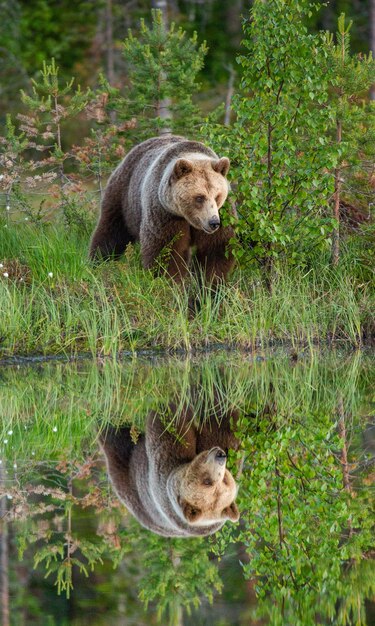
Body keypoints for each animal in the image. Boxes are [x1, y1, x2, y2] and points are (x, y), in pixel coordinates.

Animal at [89, 137, 235, 286]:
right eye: (199, 197)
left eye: (217, 196)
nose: (213, 222)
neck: (187, 218)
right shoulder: (165, 213)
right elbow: (165, 250)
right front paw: (169, 281)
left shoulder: (223, 215)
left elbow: (216, 249)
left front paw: (211, 284)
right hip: (124, 197)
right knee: (111, 230)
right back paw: (98, 261)